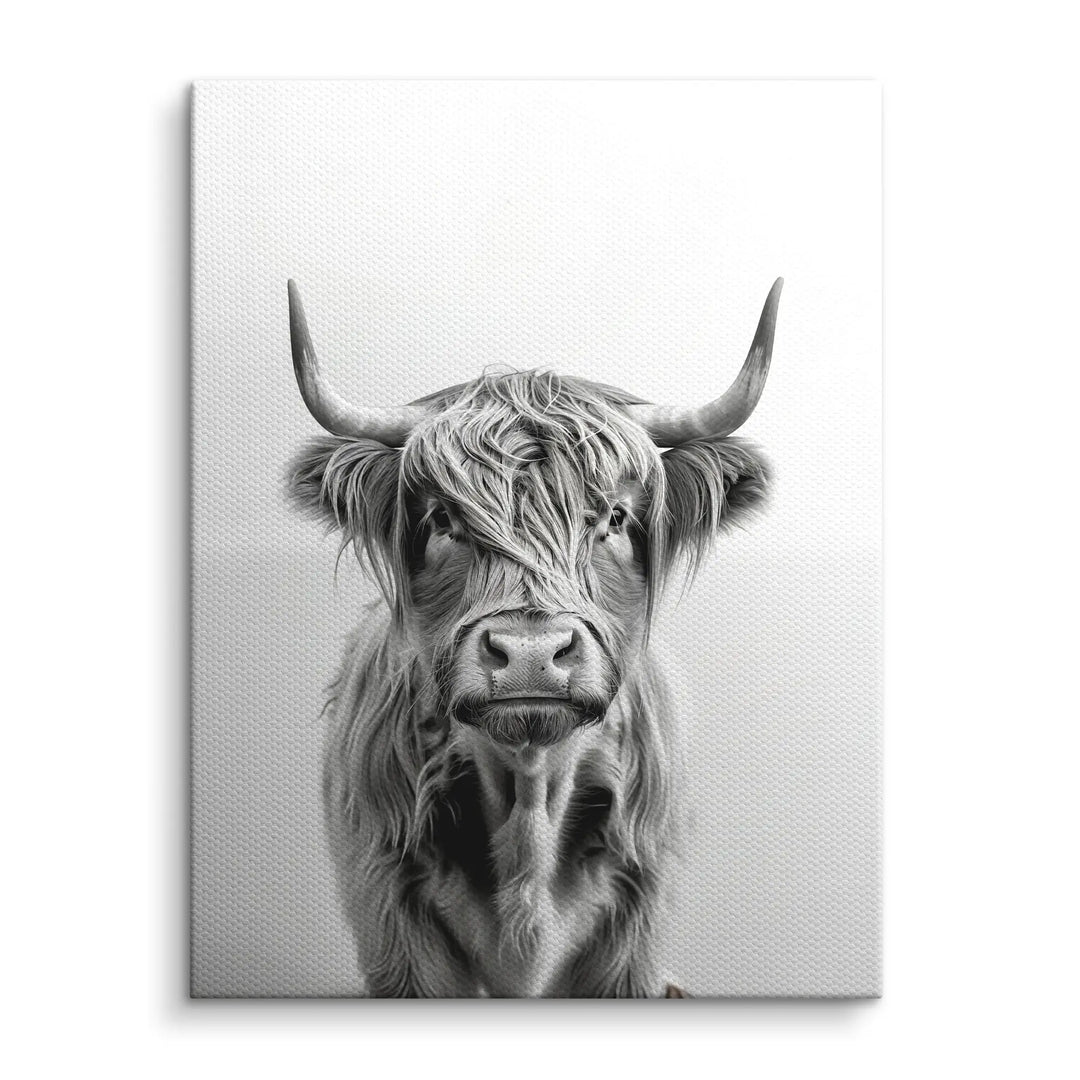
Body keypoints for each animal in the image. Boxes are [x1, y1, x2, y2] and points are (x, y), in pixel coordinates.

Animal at [286, 277, 783, 997]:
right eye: (443, 520)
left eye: (614, 518)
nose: (528, 654)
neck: (529, 791)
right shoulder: (393, 920)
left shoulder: (635, 930)